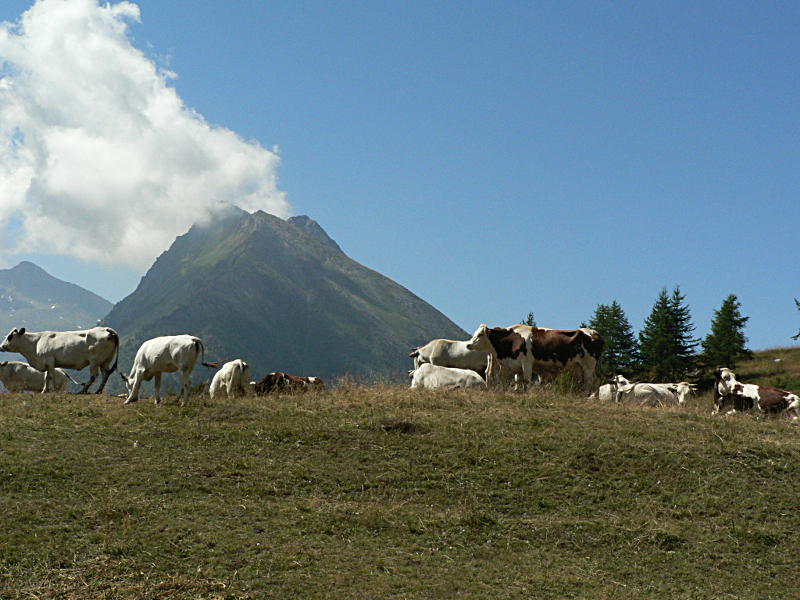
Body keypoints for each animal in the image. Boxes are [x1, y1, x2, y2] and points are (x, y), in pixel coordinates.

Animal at [466, 324, 604, 394]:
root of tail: (594, 333)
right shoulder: (513, 364)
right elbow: (515, 380)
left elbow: (526, 380)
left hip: (588, 365)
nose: (468, 345)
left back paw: (586, 396)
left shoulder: (527, 362)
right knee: (593, 381)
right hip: (579, 367)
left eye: (480, 334)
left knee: (589, 382)